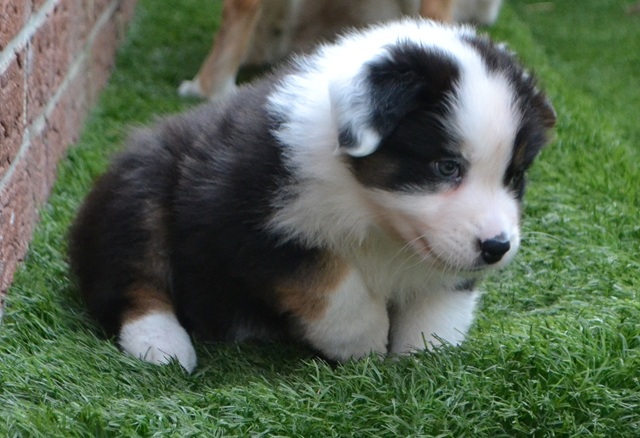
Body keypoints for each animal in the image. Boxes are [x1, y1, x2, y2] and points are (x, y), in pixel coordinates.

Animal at [69, 18, 556, 373]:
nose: (496, 248)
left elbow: (439, 302)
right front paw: (365, 343)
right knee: (129, 280)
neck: (371, 211)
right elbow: (332, 283)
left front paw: (423, 358)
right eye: (446, 166)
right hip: (139, 189)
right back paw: (163, 346)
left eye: (515, 175)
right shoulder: (245, 219)